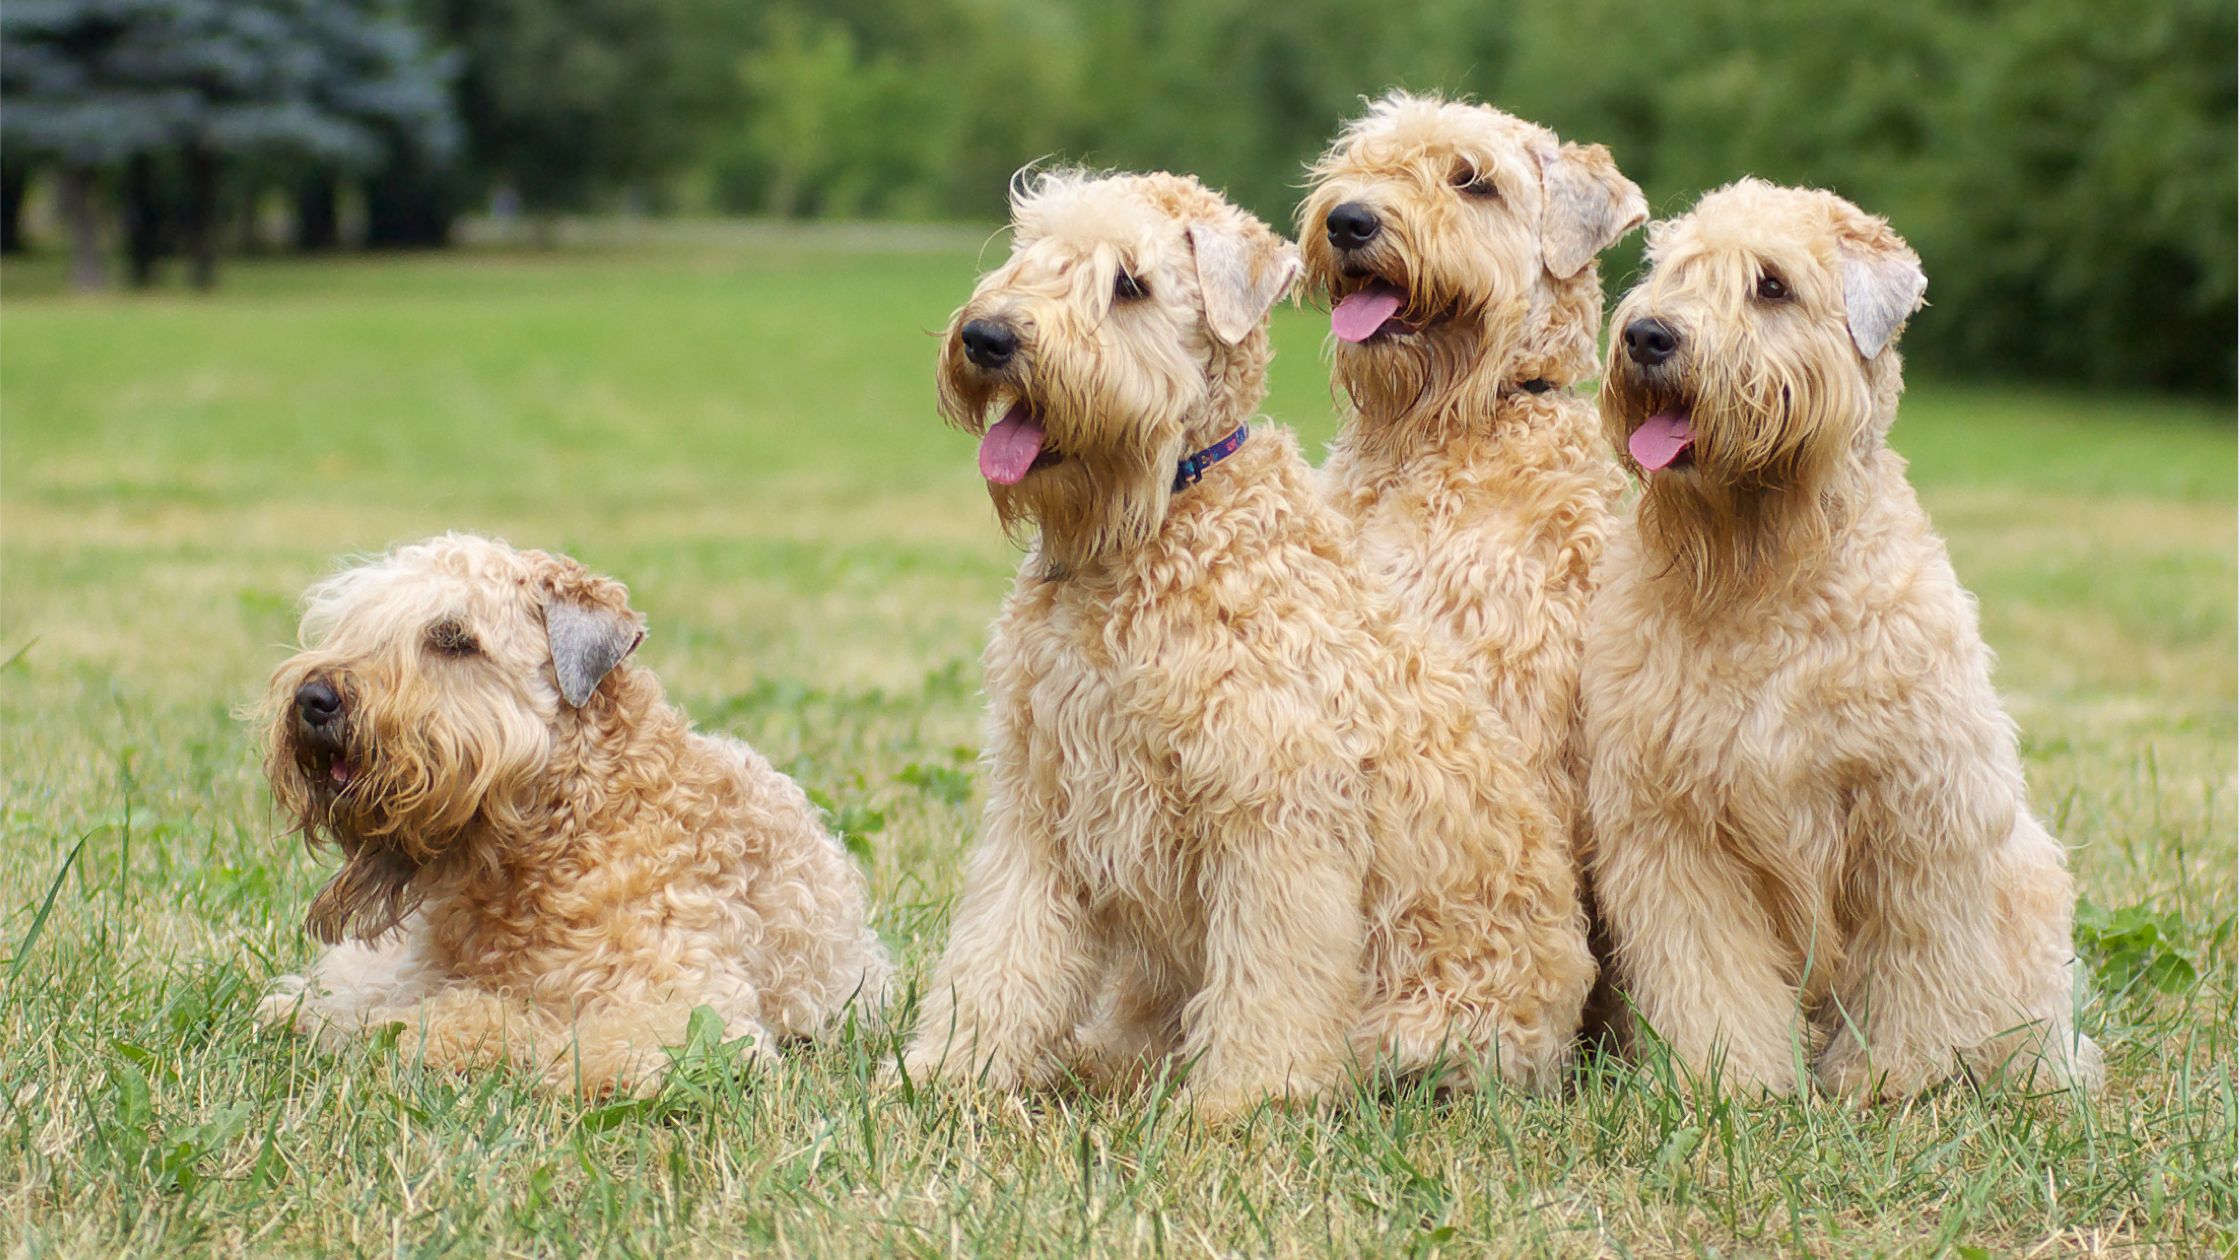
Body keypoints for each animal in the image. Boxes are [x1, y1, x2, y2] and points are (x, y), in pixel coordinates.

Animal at [891, 169, 1594, 1116]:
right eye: (1028, 253)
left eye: (1129, 284)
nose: (988, 336)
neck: (1153, 531)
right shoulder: (1040, 799)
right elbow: (1002, 952)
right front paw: (949, 1072)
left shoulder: (1274, 816)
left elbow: (1272, 977)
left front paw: (1241, 1101)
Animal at [1585, 179, 2087, 1098]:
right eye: (1673, 271)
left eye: (1771, 285)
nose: (1647, 336)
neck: (1765, 572)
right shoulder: (1675, 827)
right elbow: (1711, 973)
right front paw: (1733, 1082)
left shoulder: (1915, 809)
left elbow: (1913, 966)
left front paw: (1896, 1079)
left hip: (2026, 884)